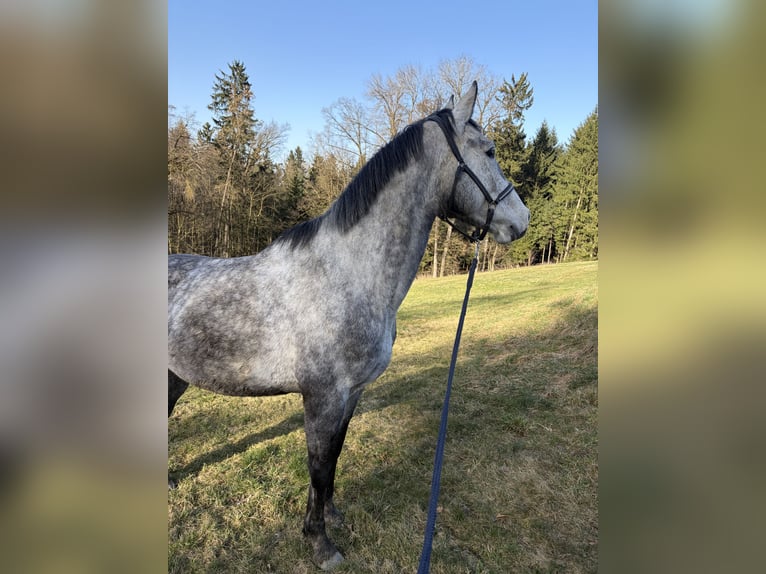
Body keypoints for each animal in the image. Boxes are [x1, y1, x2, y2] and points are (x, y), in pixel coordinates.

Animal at [168, 82, 530, 570]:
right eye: (489, 151)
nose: (522, 220)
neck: (347, 273)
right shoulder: (322, 396)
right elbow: (318, 464)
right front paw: (320, 543)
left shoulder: (350, 394)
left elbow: (334, 458)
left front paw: (331, 516)